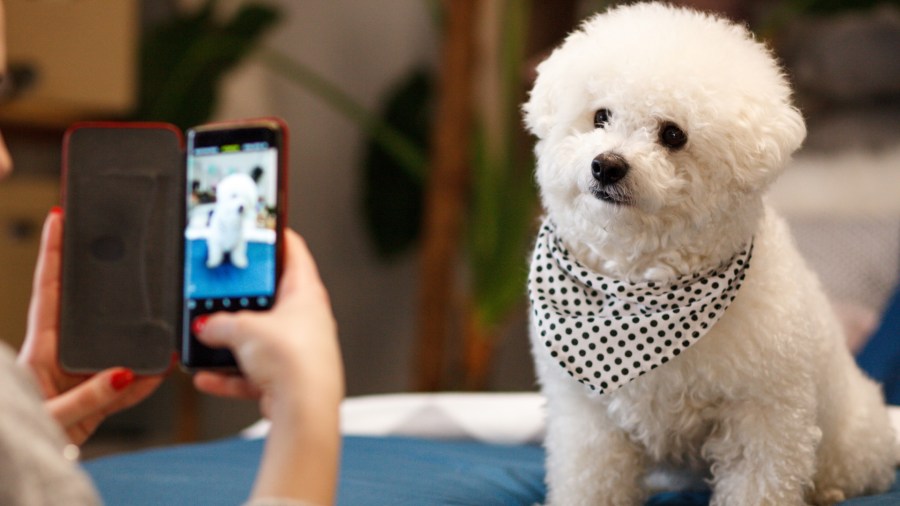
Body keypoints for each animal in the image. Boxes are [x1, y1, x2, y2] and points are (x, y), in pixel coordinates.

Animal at [524, 1, 896, 504]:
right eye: (600, 116)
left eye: (672, 135)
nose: (606, 165)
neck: (640, 283)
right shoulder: (587, 417)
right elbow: (590, 477)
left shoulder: (765, 415)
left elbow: (760, 481)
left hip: (850, 435)